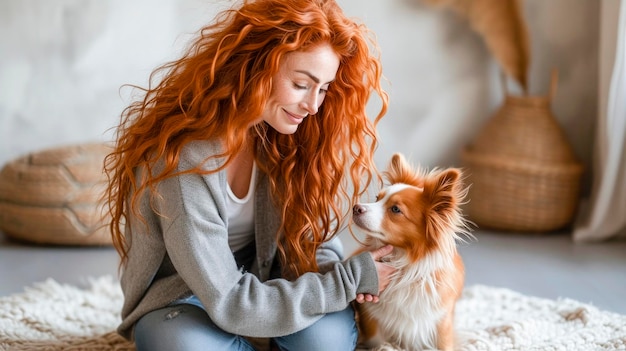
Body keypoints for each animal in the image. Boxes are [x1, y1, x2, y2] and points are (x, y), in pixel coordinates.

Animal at [352, 154, 468, 351]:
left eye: (395, 209)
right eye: (377, 198)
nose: (356, 208)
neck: (402, 263)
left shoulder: (441, 320)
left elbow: (444, 345)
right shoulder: (371, 317)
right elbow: (377, 341)